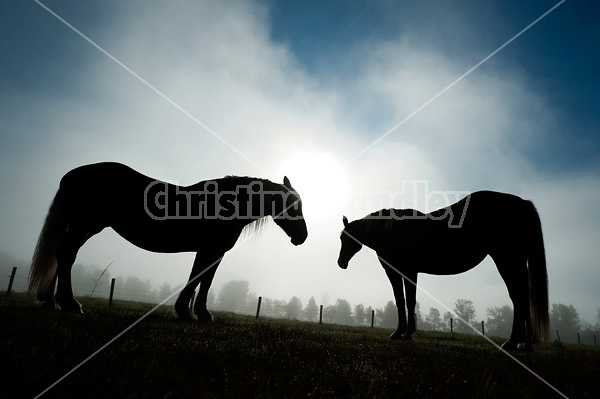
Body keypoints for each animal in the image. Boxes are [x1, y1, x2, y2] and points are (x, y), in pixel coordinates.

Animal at [28, 161, 308, 320]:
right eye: (292, 205)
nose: (302, 237)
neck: (226, 203)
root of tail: (71, 175)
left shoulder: (213, 252)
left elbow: (202, 280)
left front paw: (194, 311)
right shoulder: (209, 250)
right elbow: (199, 279)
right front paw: (192, 312)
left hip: (87, 227)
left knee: (62, 255)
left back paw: (51, 302)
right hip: (83, 225)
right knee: (66, 256)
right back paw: (69, 303)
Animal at [338, 191, 548, 350]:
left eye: (344, 238)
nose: (341, 263)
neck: (388, 229)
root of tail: (522, 203)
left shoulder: (399, 271)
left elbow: (403, 300)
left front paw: (401, 333)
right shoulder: (409, 272)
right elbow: (408, 300)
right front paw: (407, 332)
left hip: (507, 260)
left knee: (518, 297)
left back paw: (512, 342)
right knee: (523, 296)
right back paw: (525, 343)